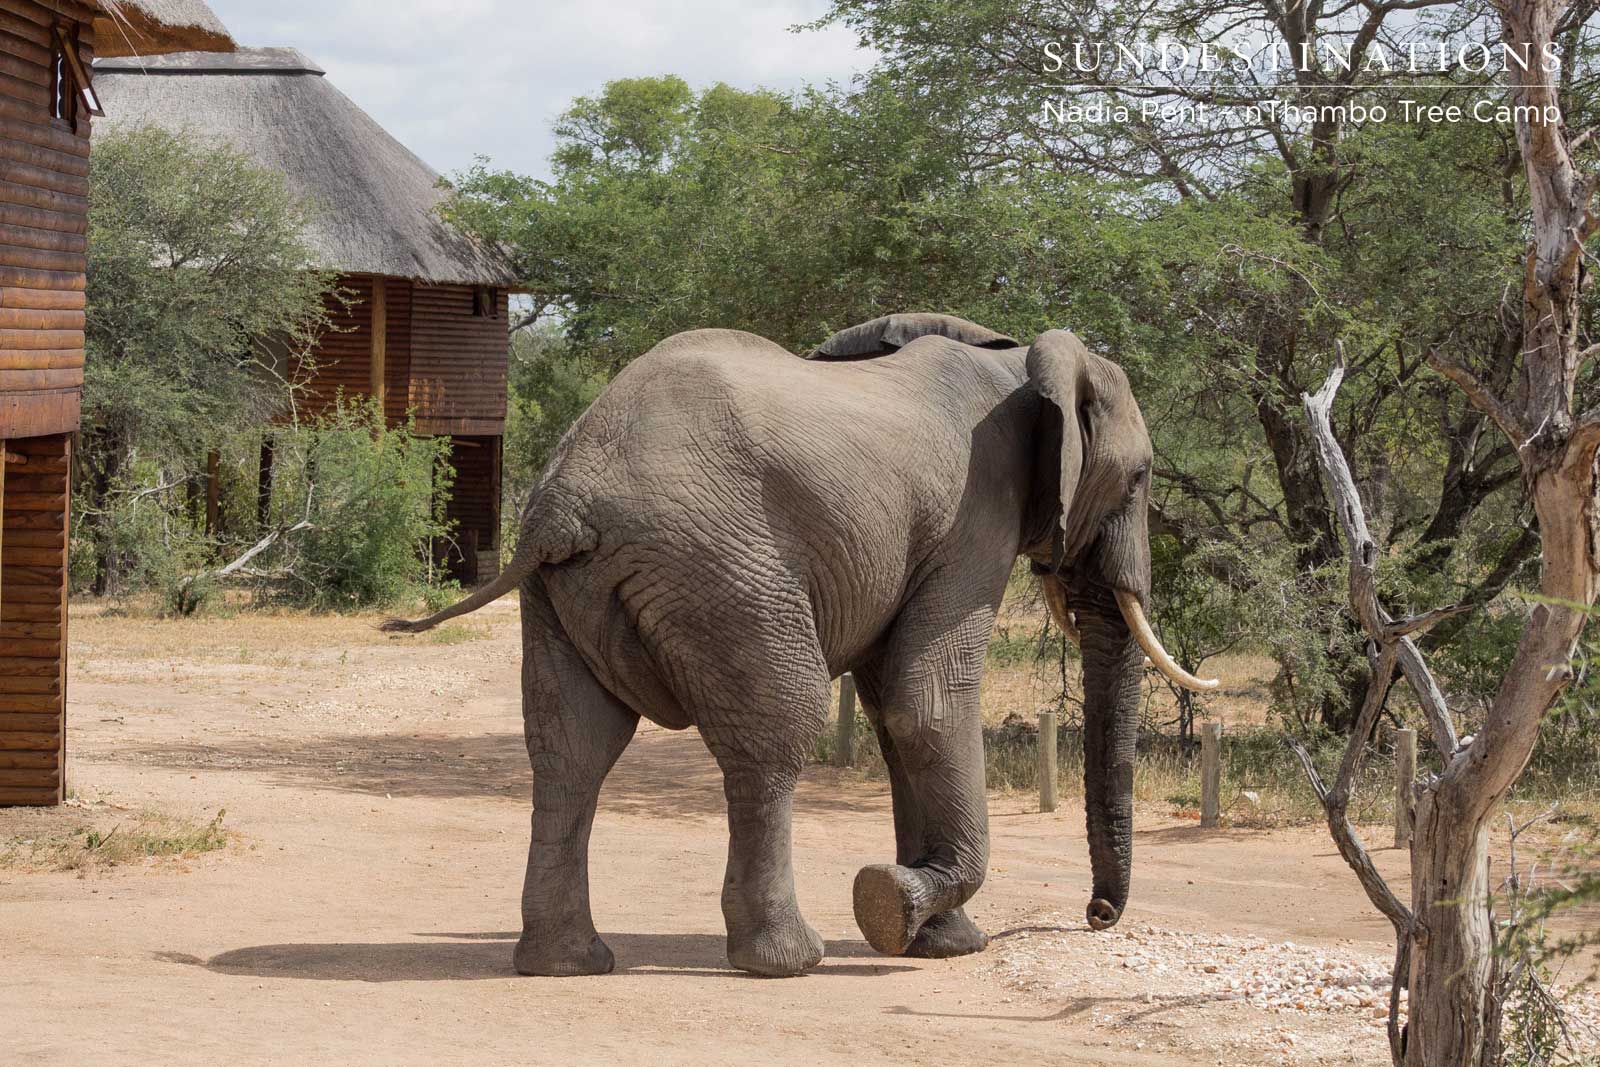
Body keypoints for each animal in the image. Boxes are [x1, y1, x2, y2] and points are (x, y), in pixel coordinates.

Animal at [383, 313, 1216, 978]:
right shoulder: (974, 517)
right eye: (1140, 477)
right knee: (778, 731)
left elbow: (892, 715)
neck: (1019, 360)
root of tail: (565, 499)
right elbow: (924, 701)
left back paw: (567, 963)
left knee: (572, 749)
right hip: (724, 568)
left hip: (566, 595)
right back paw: (787, 959)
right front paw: (893, 905)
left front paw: (938, 939)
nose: (1097, 915)